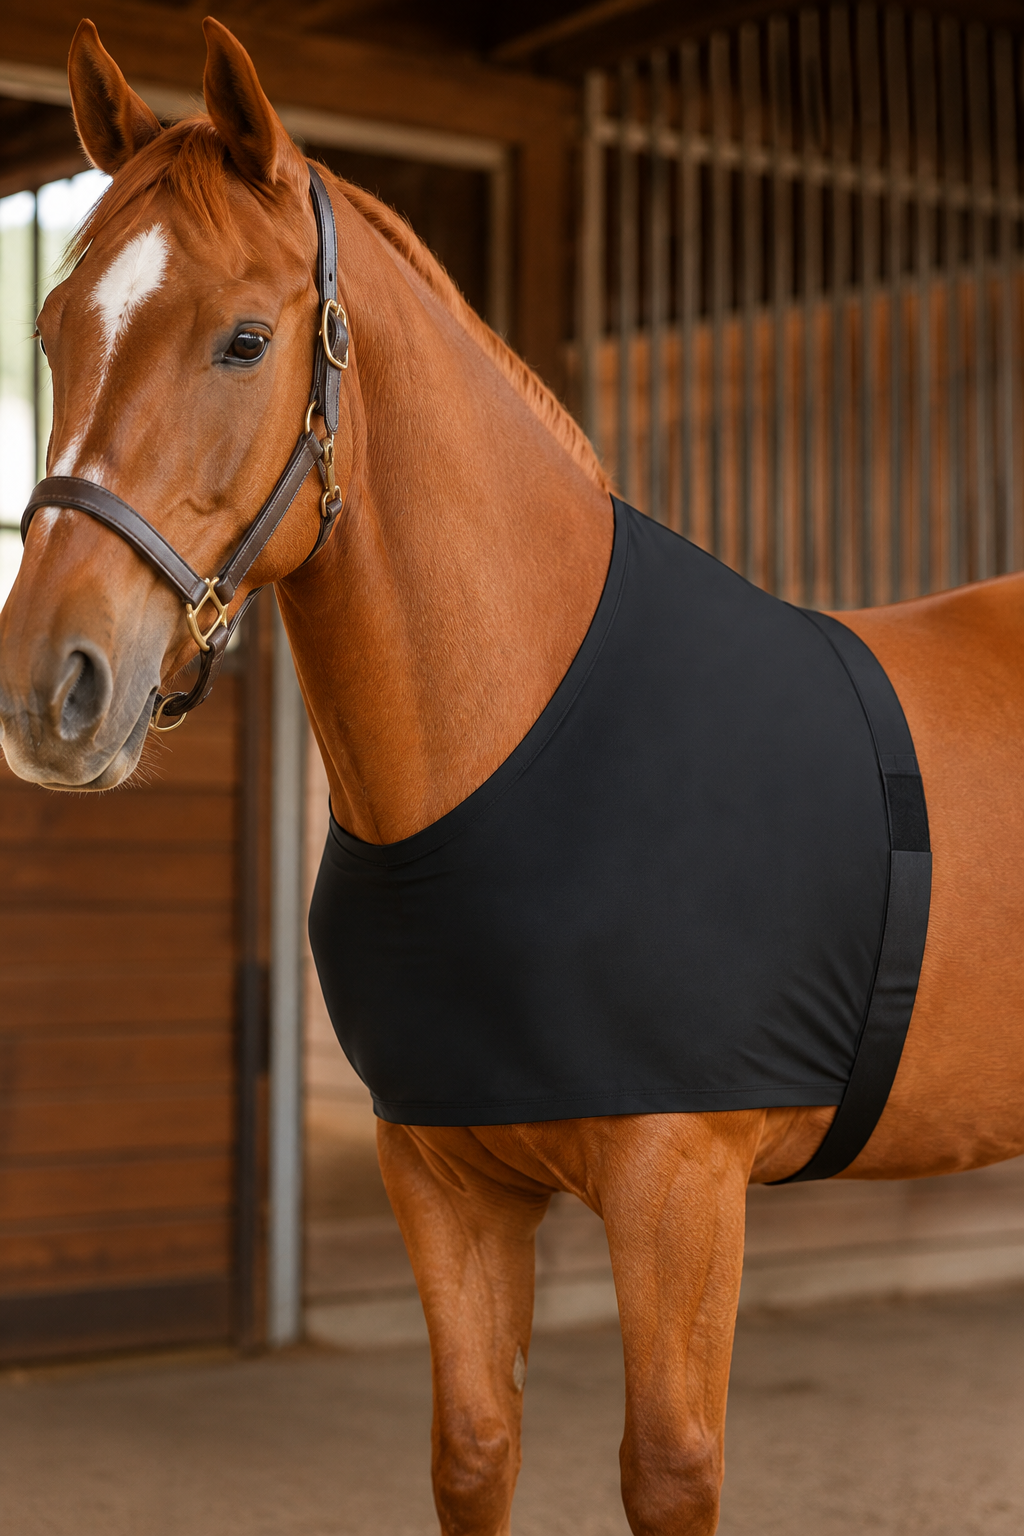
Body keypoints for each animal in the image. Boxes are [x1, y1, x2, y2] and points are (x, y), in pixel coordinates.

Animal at [0, 19, 1021, 1535]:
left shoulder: (680, 1193)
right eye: (58, 329)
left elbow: (667, 1470)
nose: (48, 691)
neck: (521, 734)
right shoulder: (447, 1184)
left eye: (245, 340)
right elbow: (475, 1451)